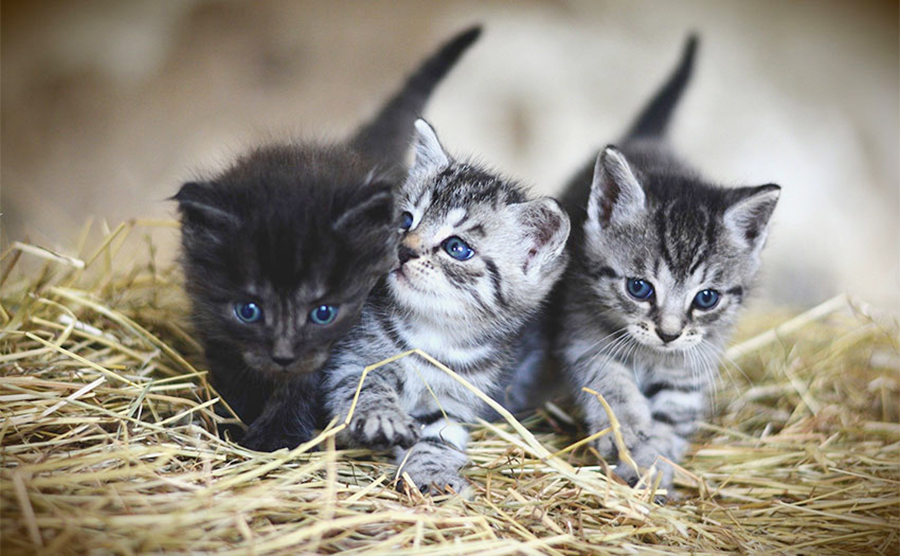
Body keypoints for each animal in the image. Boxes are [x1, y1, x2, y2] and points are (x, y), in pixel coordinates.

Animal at [178, 27, 486, 452]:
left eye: (323, 313)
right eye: (248, 310)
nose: (283, 355)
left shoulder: (343, 343)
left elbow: (305, 385)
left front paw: (276, 436)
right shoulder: (214, 324)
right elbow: (234, 374)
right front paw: (235, 420)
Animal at [326, 119, 572, 494]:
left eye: (457, 248)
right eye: (405, 220)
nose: (404, 250)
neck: (433, 332)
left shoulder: (455, 401)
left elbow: (438, 438)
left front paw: (433, 475)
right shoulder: (351, 360)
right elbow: (364, 386)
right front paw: (381, 416)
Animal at [556, 35, 780, 486]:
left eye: (707, 298)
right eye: (639, 288)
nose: (669, 334)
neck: (651, 356)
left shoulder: (692, 365)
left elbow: (673, 417)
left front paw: (654, 465)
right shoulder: (582, 333)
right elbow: (608, 382)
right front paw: (627, 432)